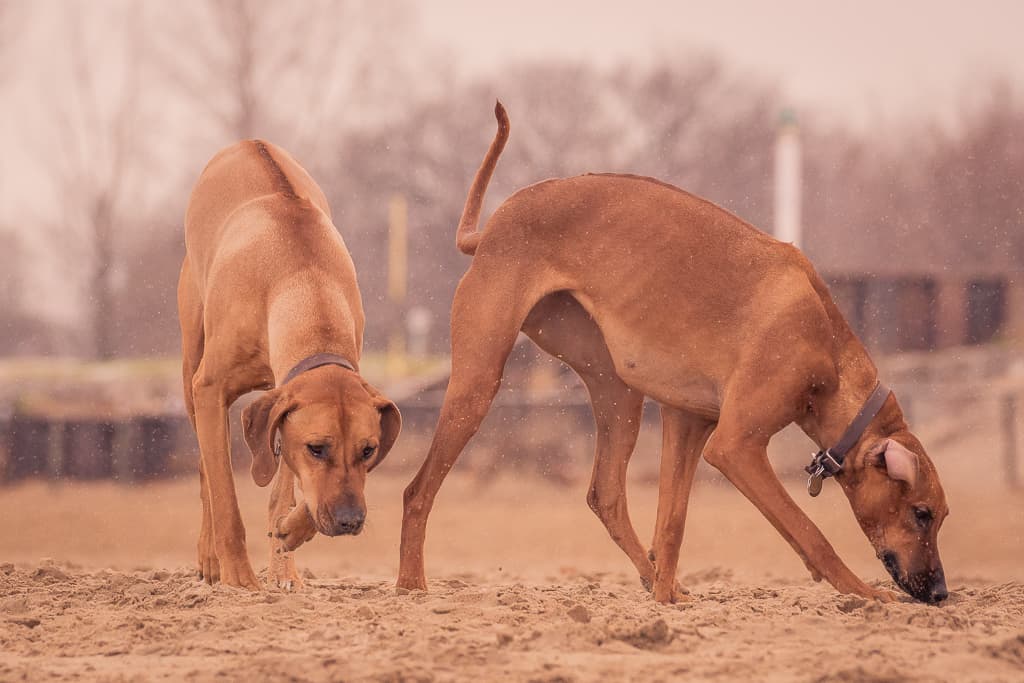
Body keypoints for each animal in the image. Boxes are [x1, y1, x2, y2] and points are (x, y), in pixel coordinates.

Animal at [178, 139, 401, 589]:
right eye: (317, 448)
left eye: (368, 450)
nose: (351, 521)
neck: (304, 279)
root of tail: (247, 142)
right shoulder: (211, 388)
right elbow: (226, 499)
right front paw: (240, 578)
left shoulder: (284, 403)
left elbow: (282, 495)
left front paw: (289, 544)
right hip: (191, 361)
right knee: (206, 473)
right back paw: (210, 558)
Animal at [397, 101, 950, 602]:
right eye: (921, 513)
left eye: (941, 517)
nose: (941, 591)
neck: (827, 345)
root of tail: (491, 228)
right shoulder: (734, 446)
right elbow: (809, 532)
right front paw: (864, 593)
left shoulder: (688, 423)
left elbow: (673, 522)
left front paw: (665, 597)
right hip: (479, 382)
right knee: (417, 490)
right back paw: (411, 583)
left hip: (617, 391)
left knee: (606, 495)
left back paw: (655, 580)